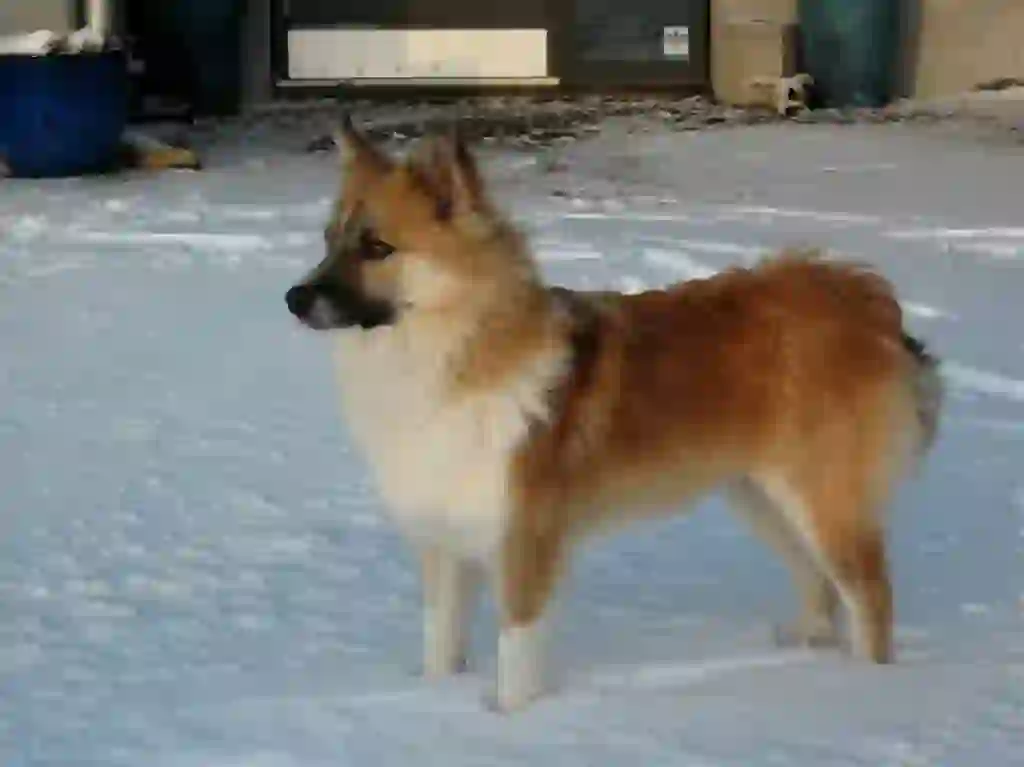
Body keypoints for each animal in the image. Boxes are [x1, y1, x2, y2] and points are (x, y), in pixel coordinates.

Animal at [286, 118, 942, 712]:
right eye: (328, 240)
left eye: (377, 247)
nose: (293, 299)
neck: (456, 354)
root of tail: (868, 302)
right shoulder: (444, 540)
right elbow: (439, 644)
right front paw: (433, 700)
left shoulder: (525, 541)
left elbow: (516, 650)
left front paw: (507, 721)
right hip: (762, 496)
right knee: (819, 582)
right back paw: (807, 652)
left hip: (818, 498)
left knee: (870, 595)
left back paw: (864, 688)